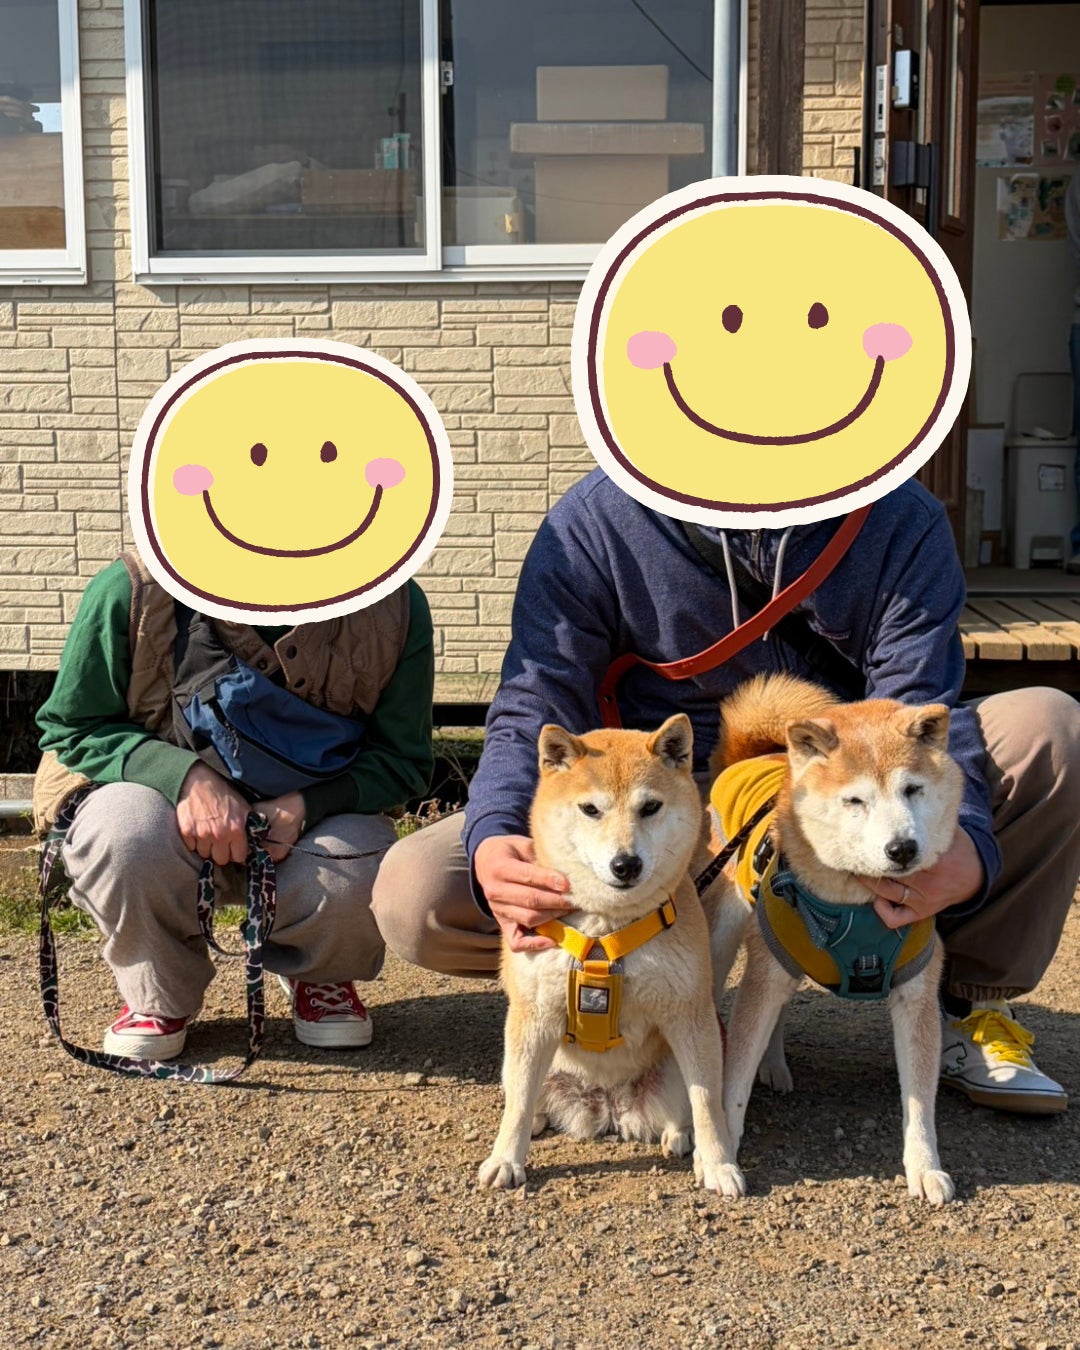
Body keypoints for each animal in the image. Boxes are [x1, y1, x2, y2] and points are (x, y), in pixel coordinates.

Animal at [477, 714, 746, 1197]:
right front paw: (506, 1159)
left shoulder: (689, 1015)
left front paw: (718, 1164)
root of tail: (608, 1105)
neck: (608, 927)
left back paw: (680, 1137)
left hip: (682, 1057)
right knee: (523, 1095)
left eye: (650, 807)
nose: (626, 864)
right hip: (520, 1056)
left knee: (687, 1105)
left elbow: (706, 1102)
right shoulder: (534, 1015)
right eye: (590, 809)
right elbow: (519, 1103)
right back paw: (538, 1120)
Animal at [710, 674, 962, 1206]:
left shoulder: (916, 995)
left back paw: (775, 1065)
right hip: (728, 934)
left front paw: (925, 1167)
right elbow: (734, 1081)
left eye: (912, 789)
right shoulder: (763, 976)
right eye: (854, 801)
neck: (859, 904)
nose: (902, 848)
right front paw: (722, 1152)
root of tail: (750, 754)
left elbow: (920, 1101)